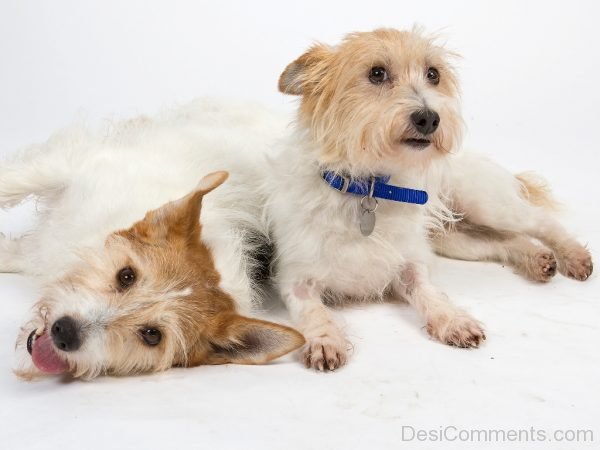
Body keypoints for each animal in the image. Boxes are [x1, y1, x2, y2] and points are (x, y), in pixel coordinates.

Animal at [267, 27, 593, 370]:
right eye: (376, 73)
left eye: (433, 74)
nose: (429, 119)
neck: (370, 189)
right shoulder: (295, 278)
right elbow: (313, 311)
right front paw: (324, 340)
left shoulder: (411, 265)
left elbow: (430, 294)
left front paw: (452, 320)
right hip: (458, 240)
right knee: (504, 241)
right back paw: (538, 259)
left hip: (488, 205)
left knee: (540, 222)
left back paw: (573, 257)